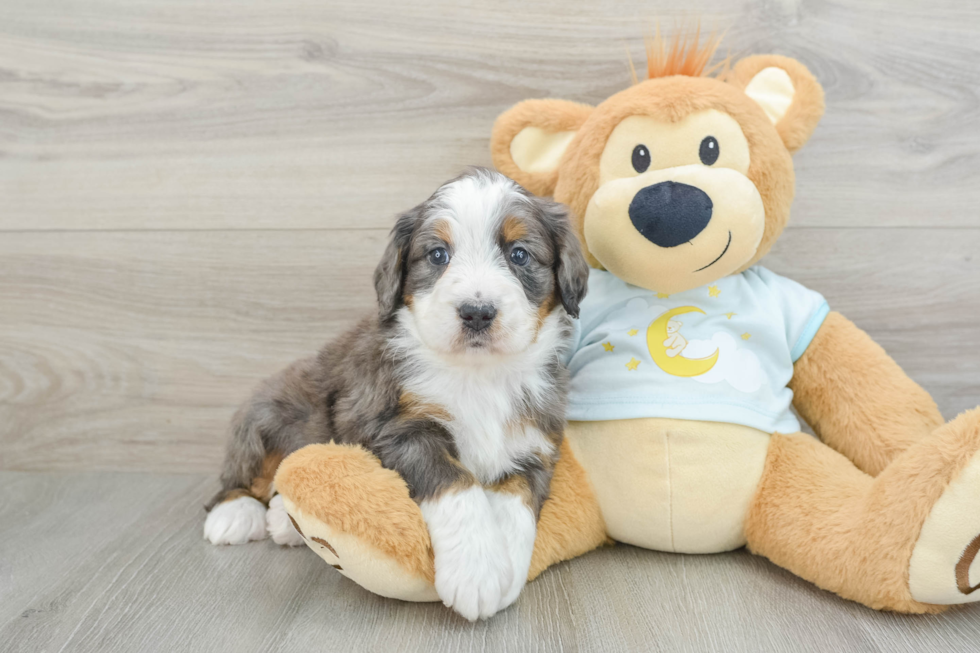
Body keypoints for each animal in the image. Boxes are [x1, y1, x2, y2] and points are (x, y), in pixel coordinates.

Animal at [205, 167, 588, 616]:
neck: (479, 375)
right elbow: (456, 483)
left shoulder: (533, 443)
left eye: (520, 255)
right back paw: (235, 515)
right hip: (266, 413)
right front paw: (475, 572)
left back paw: (284, 519)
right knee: (244, 475)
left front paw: (504, 568)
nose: (477, 313)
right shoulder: (396, 428)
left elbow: (516, 504)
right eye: (438, 255)